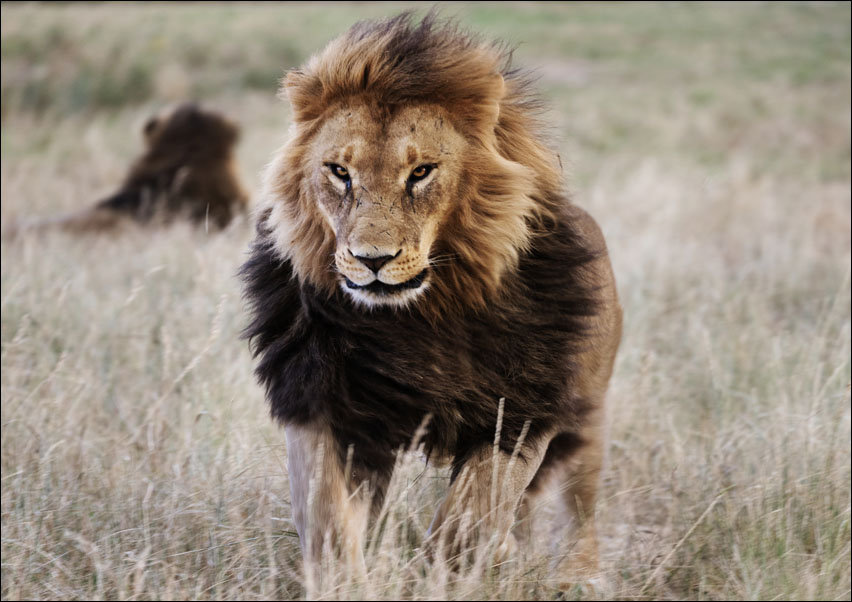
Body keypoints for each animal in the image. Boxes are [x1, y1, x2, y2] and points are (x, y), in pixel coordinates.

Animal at [243, 12, 624, 584]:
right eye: (339, 171)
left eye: (420, 172)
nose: (372, 259)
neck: (420, 320)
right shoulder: (323, 403)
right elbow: (327, 517)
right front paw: (345, 584)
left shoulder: (520, 412)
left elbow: (470, 512)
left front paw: (440, 574)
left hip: (588, 418)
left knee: (576, 506)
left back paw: (577, 574)